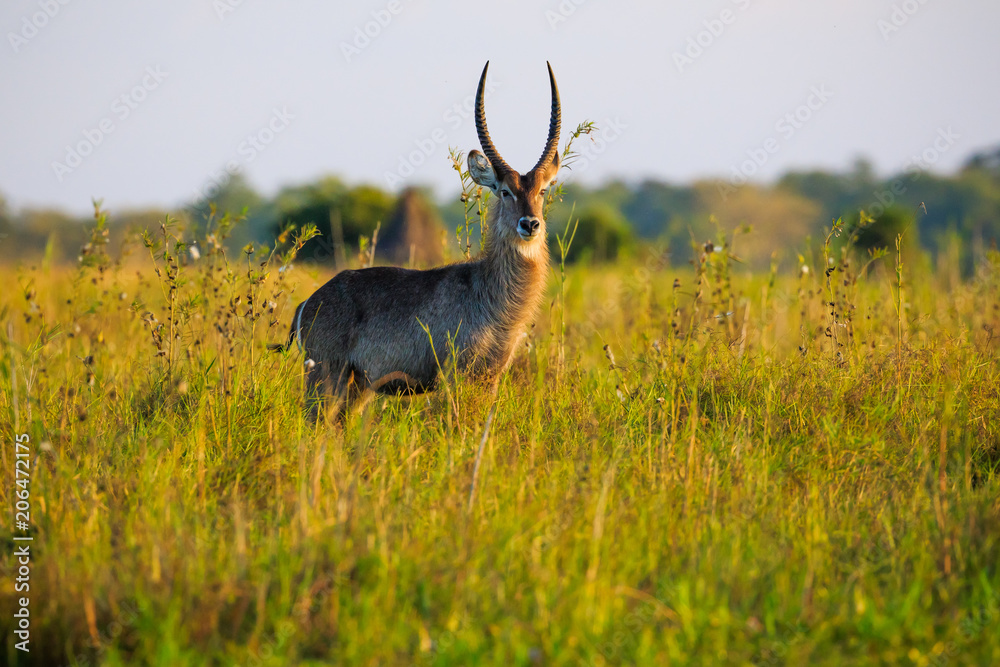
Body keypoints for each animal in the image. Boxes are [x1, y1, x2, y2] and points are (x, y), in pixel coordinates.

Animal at [288, 62, 561, 418]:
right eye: (505, 191)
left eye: (542, 191)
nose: (530, 224)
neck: (488, 293)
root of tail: (309, 301)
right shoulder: (454, 373)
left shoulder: (491, 375)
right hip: (324, 375)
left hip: (357, 385)